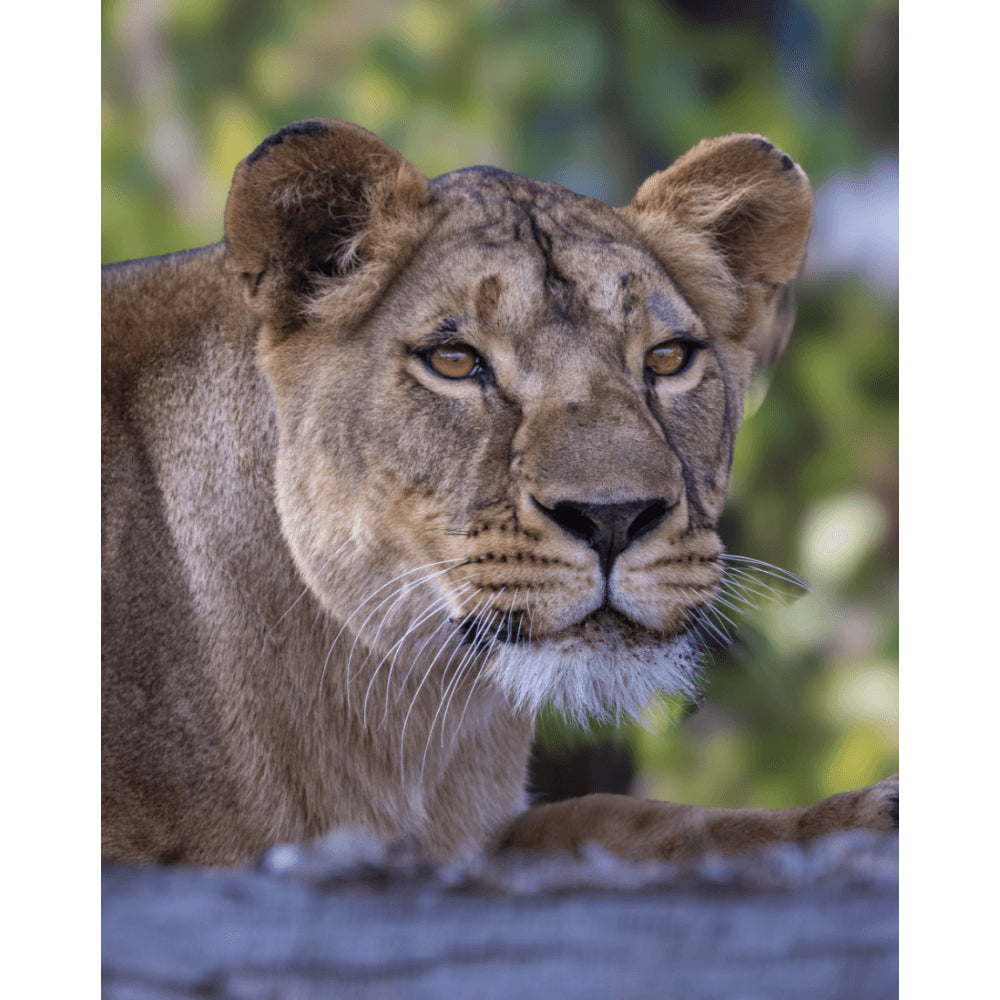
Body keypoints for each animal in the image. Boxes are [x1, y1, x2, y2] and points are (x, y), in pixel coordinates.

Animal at [102, 119, 897, 866]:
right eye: (455, 361)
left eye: (668, 358)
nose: (614, 518)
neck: (414, 720)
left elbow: (647, 818)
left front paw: (861, 816)